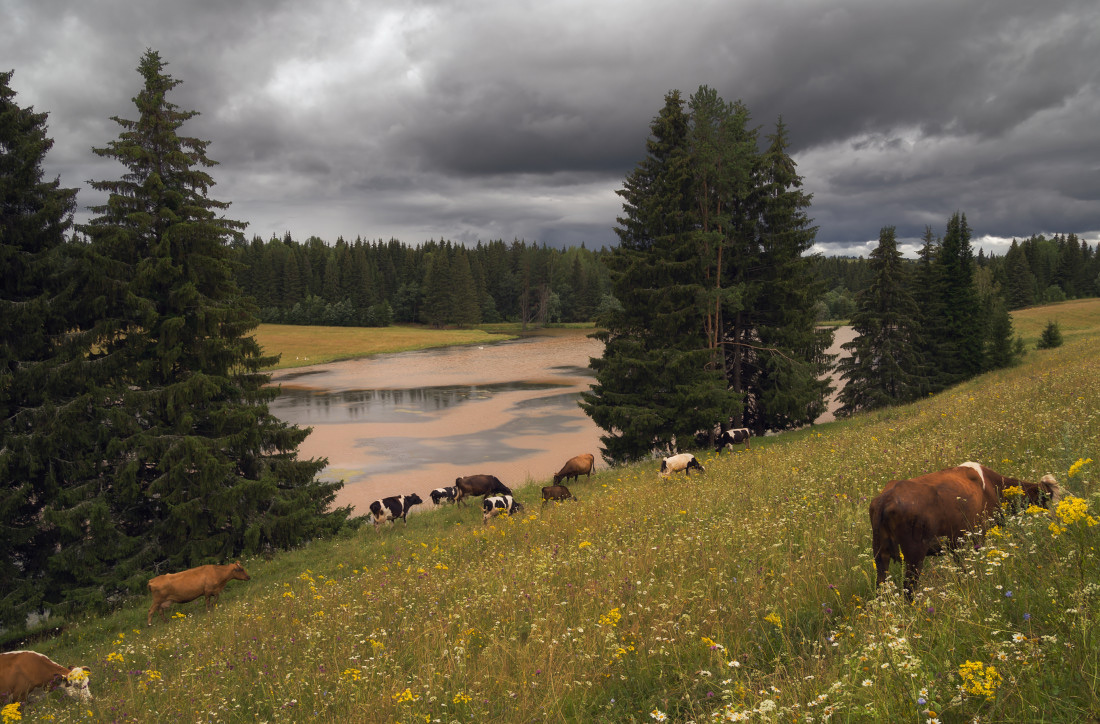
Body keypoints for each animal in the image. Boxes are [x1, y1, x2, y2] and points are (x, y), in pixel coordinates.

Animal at [871, 462, 1060, 598]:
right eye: (1047, 498)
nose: (1054, 519)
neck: (992, 486)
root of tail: (886, 498)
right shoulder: (978, 535)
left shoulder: (957, 544)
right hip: (914, 555)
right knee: (908, 589)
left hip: (880, 553)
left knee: (881, 586)